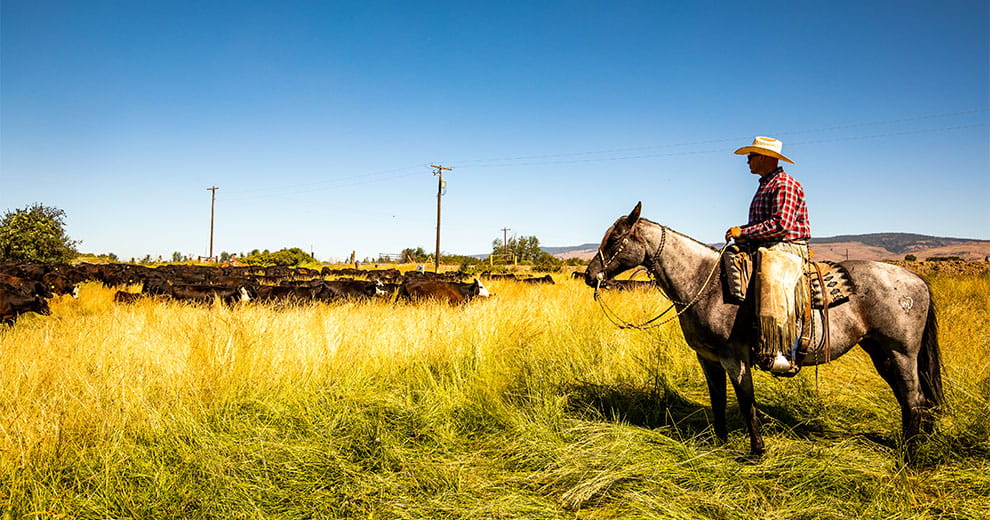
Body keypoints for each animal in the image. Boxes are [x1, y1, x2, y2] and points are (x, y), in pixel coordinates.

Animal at [584, 202, 943, 461]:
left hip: (901, 351)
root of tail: (917, 280)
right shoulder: (707, 358)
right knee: (910, 398)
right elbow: (717, 398)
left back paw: (909, 456)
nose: (590, 275)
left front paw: (756, 451)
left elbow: (746, 401)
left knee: (914, 399)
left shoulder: (734, 357)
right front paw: (719, 441)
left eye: (615, 239)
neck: (705, 284)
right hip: (881, 351)